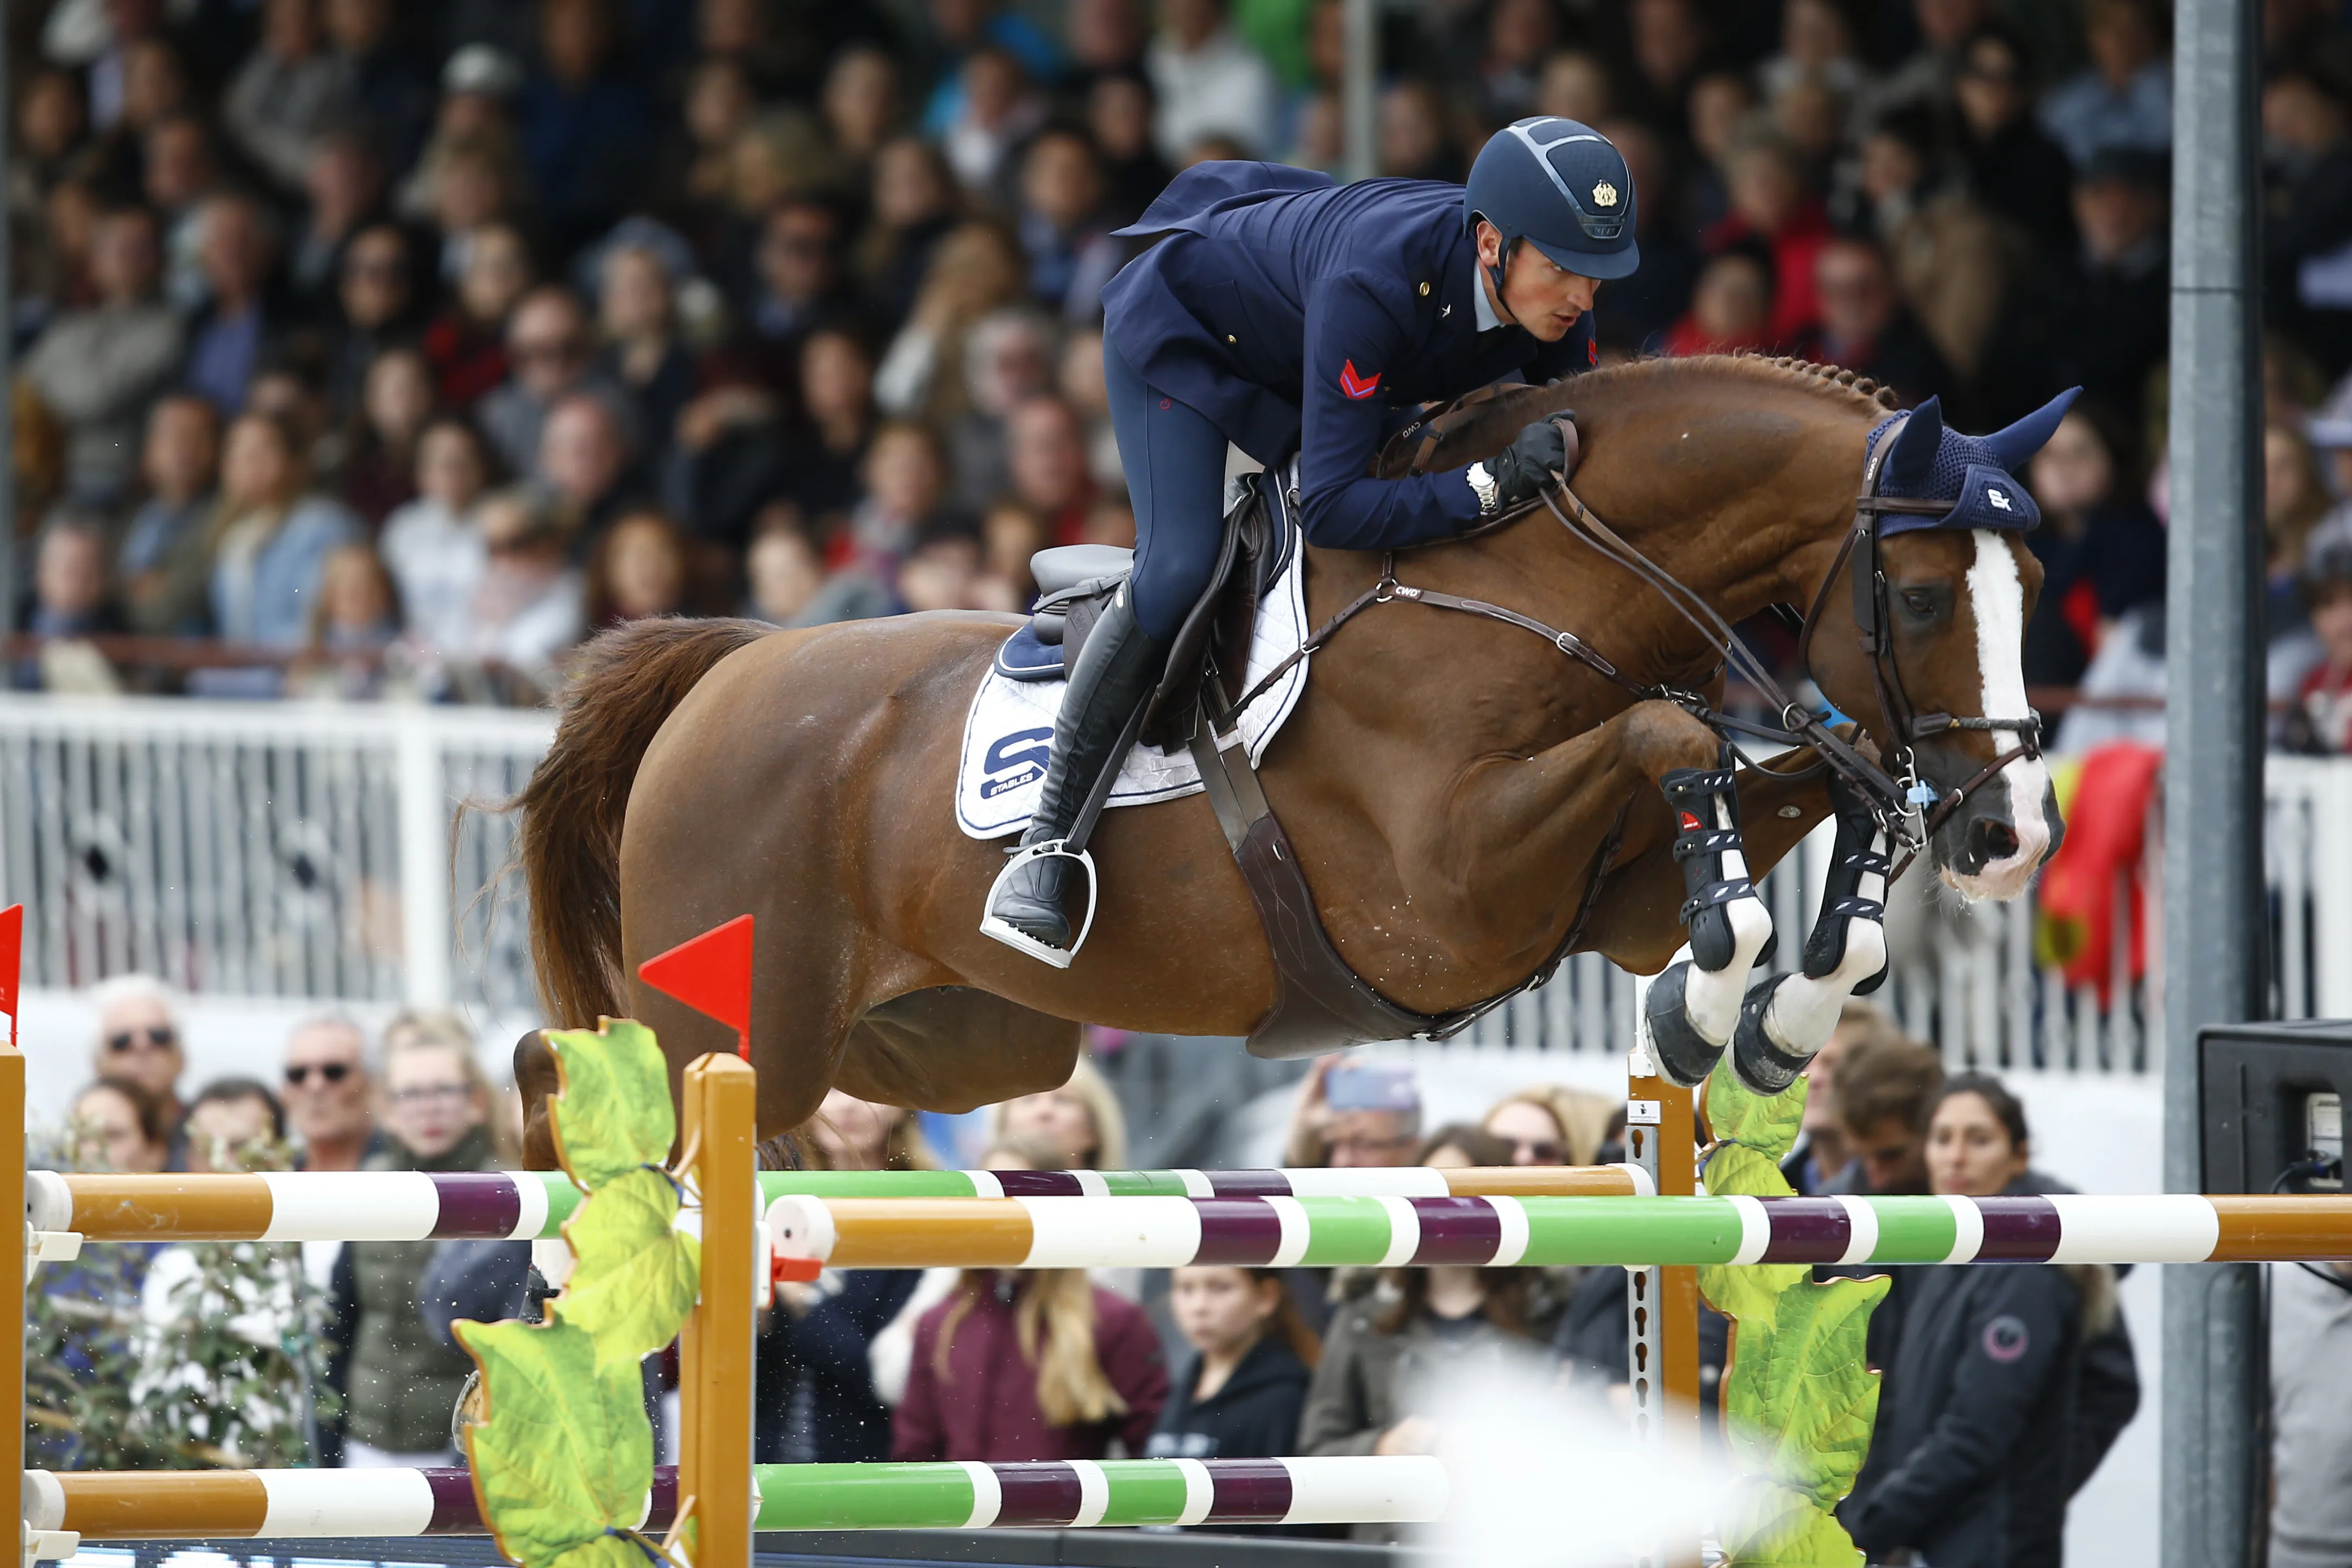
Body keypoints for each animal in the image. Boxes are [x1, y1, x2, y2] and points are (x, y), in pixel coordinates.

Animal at [508, 354, 2063, 1164]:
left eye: (2036, 584)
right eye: (1925, 596)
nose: (2013, 839)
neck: (1534, 579)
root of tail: (727, 668)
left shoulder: (1603, 901)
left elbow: (1796, 781)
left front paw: (1774, 1013)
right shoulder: (1447, 894)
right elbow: (1674, 737)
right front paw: (1720, 991)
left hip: (951, 1043)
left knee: (579, 1066)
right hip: (742, 1033)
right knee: (600, 1094)